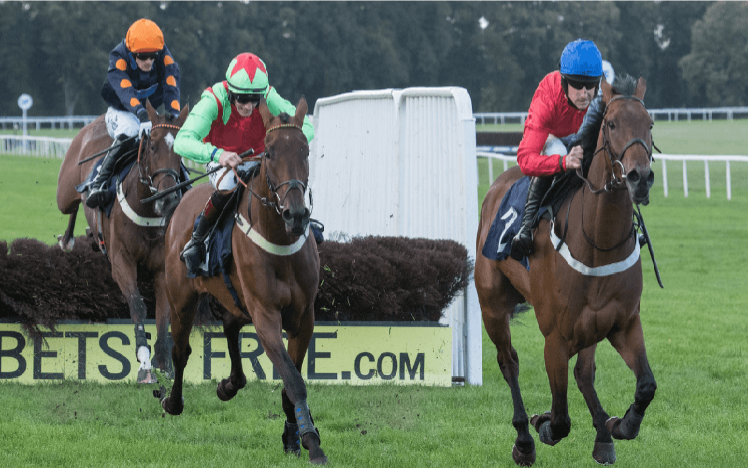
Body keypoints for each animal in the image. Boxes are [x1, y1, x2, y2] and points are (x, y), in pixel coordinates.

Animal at [56, 101, 190, 380]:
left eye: (180, 151)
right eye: (152, 146)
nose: (167, 199)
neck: (146, 210)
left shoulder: (162, 266)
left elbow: (163, 314)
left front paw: (165, 364)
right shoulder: (121, 260)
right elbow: (138, 305)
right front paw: (145, 364)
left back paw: (89, 234)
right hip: (64, 192)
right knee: (71, 205)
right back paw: (68, 239)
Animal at [159, 97, 326, 462]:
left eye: (306, 150)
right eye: (270, 152)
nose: (296, 214)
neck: (279, 240)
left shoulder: (303, 316)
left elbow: (290, 380)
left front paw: (293, 437)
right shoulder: (265, 313)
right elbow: (293, 380)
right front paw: (311, 440)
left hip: (234, 296)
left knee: (230, 326)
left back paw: (229, 385)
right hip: (181, 300)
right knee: (180, 351)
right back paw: (173, 402)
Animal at [476, 77, 656, 464]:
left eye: (650, 124)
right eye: (611, 124)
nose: (640, 177)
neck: (598, 242)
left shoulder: (623, 322)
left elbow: (646, 385)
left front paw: (619, 425)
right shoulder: (555, 338)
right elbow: (559, 420)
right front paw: (541, 423)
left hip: (590, 327)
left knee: (584, 373)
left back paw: (603, 434)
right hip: (492, 307)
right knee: (508, 361)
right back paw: (524, 440)